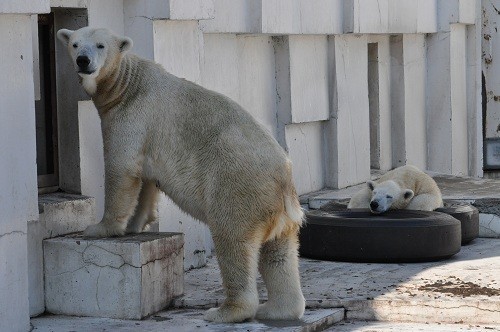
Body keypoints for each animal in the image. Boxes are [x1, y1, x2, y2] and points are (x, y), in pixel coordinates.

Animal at [55, 27, 304, 322]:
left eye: (100, 45)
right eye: (75, 44)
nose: (83, 60)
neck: (127, 85)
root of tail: (284, 181)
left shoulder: (132, 116)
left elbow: (122, 167)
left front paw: (101, 228)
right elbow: (146, 181)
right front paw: (135, 224)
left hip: (238, 186)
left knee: (232, 240)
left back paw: (224, 311)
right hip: (276, 210)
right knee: (278, 254)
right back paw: (277, 309)